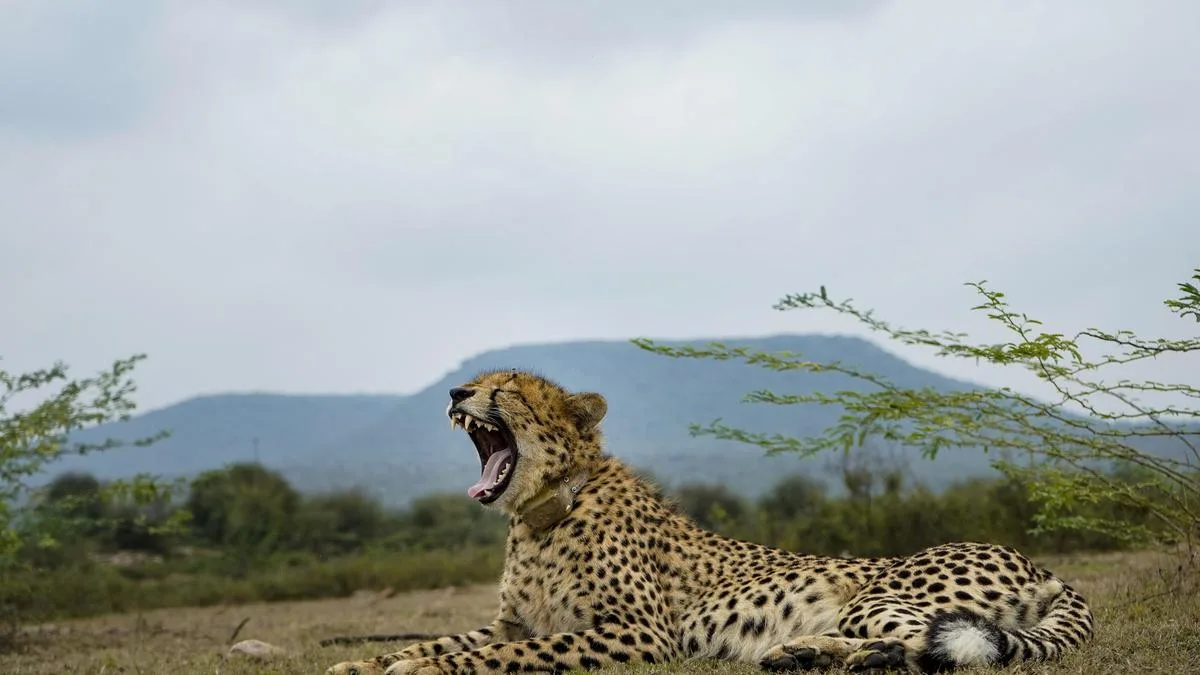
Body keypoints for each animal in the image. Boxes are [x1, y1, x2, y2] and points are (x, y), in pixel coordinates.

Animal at [326, 369, 1094, 674]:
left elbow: (510, 654)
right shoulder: (511, 620)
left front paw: (414, 666)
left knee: (940, 644)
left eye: (507, 388)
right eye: (478, 380)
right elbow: (449, 636)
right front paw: (368, 658)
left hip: (880, 594)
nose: (458, 391)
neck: (542, 514)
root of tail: (1037, 562)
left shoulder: (641, 631)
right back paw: (804, 653)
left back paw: (838, 654)